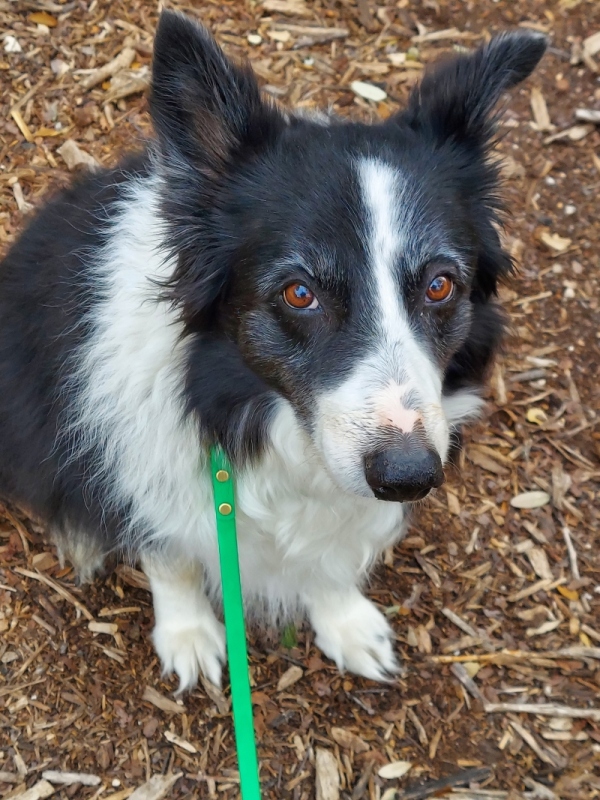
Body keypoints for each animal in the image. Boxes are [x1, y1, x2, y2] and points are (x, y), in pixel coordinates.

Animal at [0, 12, 546, 691]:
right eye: (299, 293)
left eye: (440, 284)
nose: (409, 477)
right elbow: (169, 555)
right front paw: (188, 632)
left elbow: (332, 557)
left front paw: (344, 620)